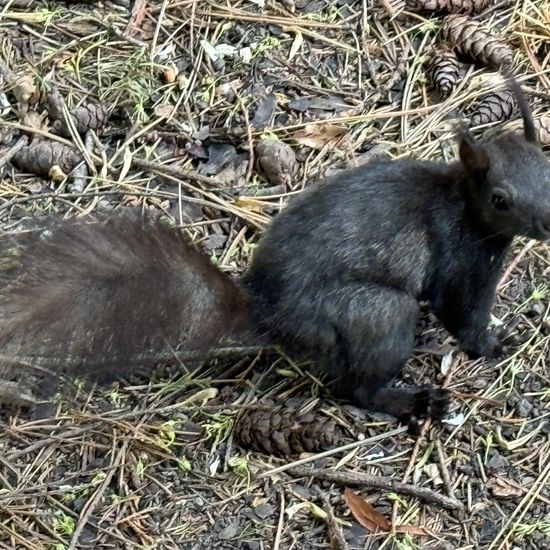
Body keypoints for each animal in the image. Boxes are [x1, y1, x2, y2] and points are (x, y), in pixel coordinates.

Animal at [1, 81, 550, 426]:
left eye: (547, 166)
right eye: (500, 199)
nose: (547, 221)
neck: (461, 201)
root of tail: (270, 312)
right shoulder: (460, 258)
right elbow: (460, 313)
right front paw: (494, 343)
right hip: (378, 313)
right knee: (358, 387)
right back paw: (410, 401)